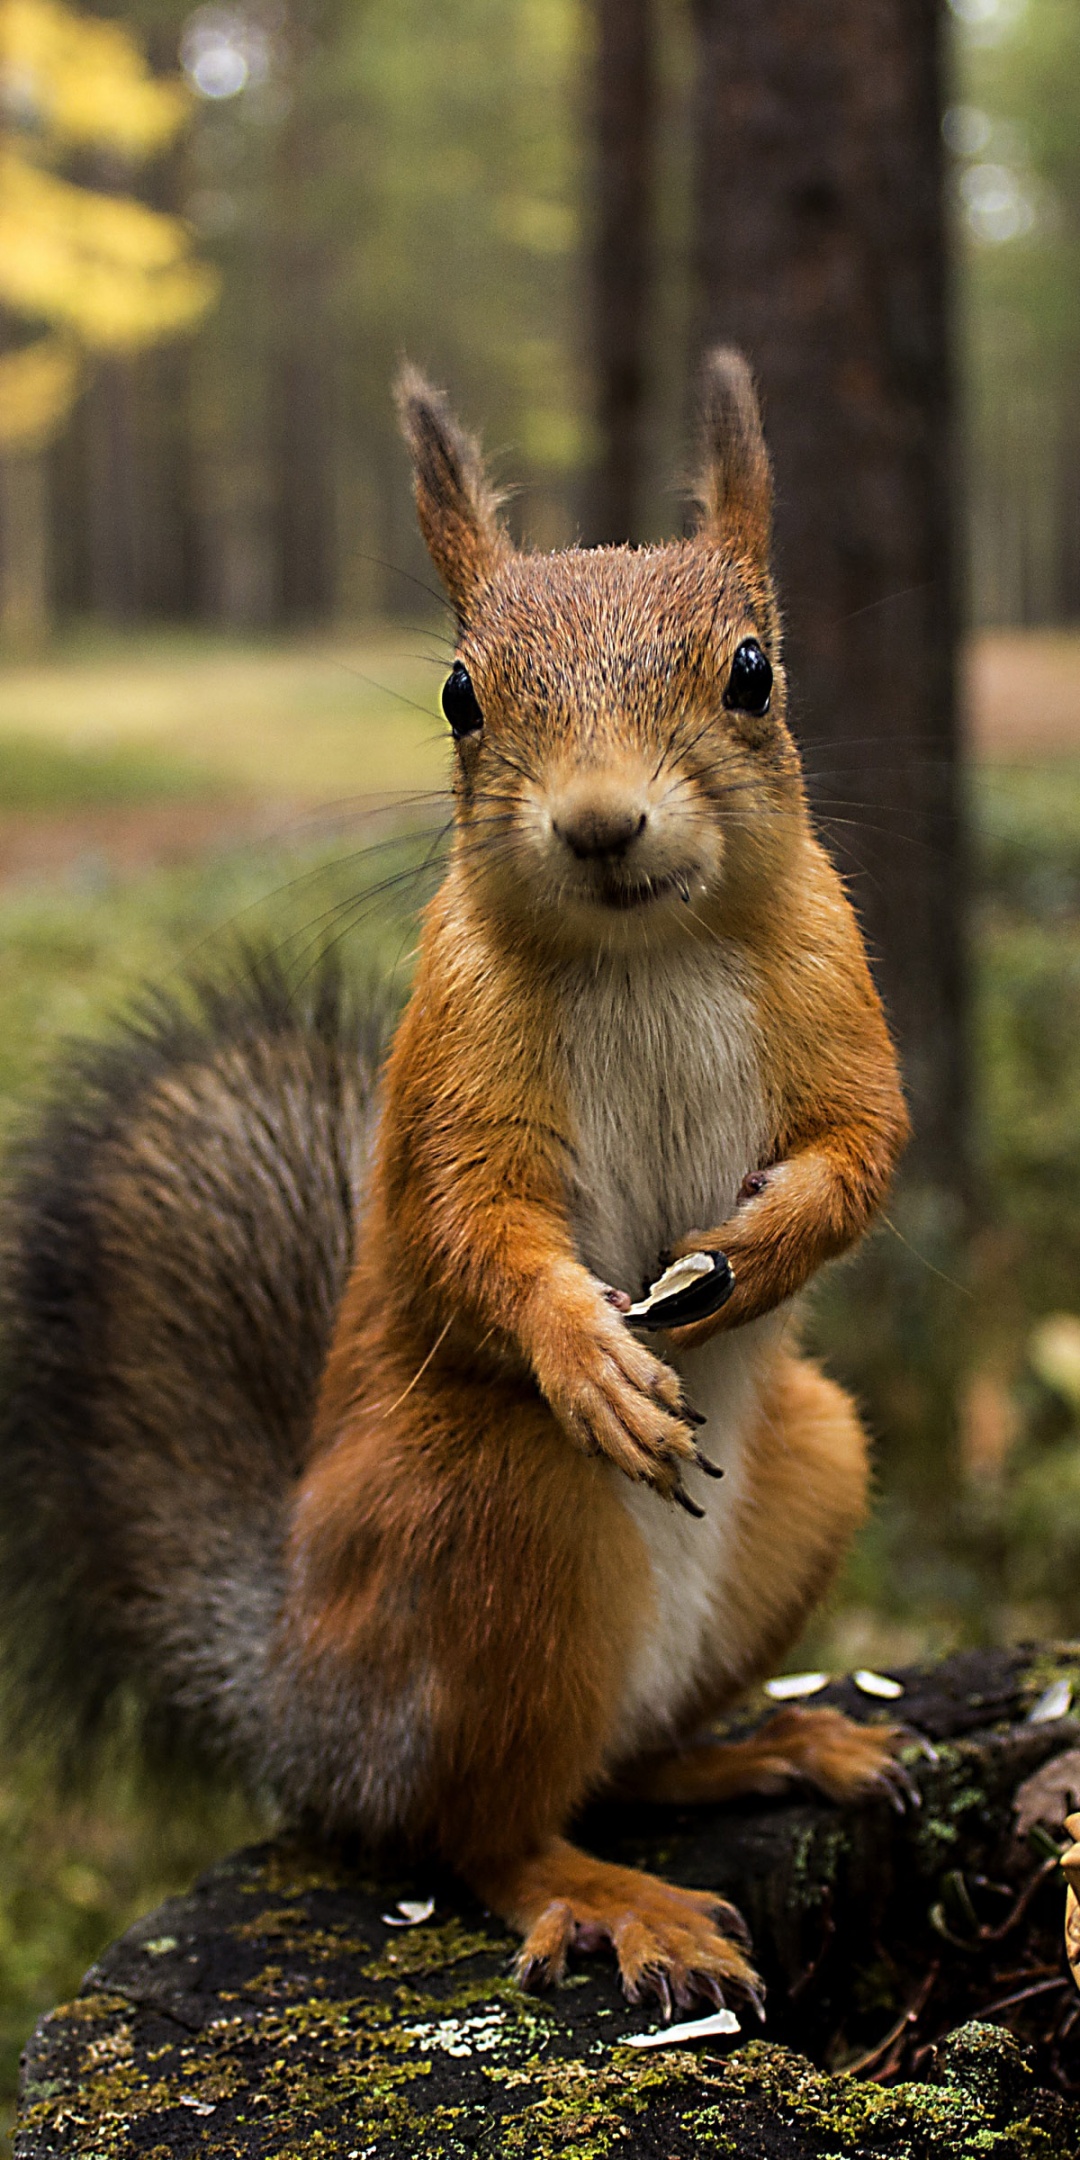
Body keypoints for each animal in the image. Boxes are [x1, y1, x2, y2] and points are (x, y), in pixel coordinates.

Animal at [0, 345, 911, 2013]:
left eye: (754, 671)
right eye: (458, 695)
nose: (601, 823)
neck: (647, 947)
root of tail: (302, 1706)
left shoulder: (840, 1004)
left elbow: (863, 1152)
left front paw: (758, 1252)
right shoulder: (452, 1072)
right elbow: (466, 1230)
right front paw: (589, 1355)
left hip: (817, 1463)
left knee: (622, 1761)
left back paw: (774, 1749)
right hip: (492, 1518)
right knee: (482, 1829)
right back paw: (614, 1896)